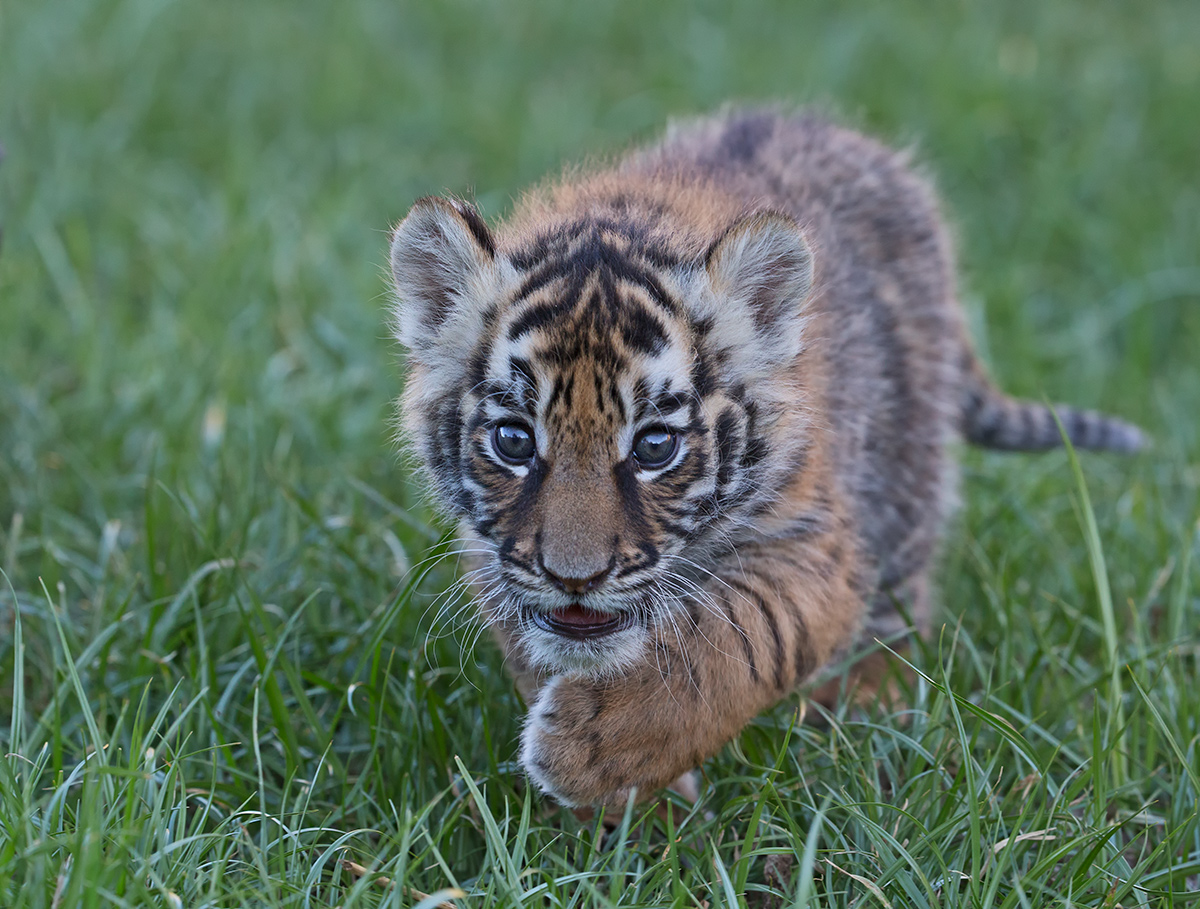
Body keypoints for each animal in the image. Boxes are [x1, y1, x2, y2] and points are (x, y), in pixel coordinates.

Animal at [386, 109, 1143, 810]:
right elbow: (536, 646)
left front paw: (593, 752)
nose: (575, 578)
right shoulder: (490, 552)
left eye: (655, 446)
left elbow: (732, 646)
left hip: (905, 473)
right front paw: (631, 812)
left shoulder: (818, 548)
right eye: (514, 440)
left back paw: (872, 705)